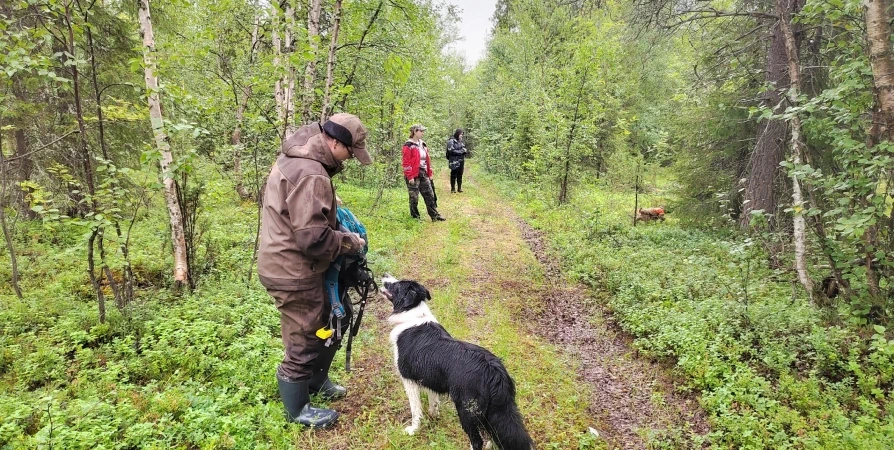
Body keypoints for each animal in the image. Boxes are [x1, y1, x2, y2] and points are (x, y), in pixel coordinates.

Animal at [382, 274, 536, 450]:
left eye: (396, 285)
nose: (384, 275)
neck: (413, 315)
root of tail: (494, 372)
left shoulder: (409, 380)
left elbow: (416, 411)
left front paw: (413, 430)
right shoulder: (429, 379)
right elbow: (433, 403)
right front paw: (434, 417)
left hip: (466, 409)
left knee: (477, 440)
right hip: (495, 411)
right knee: (492, 435)